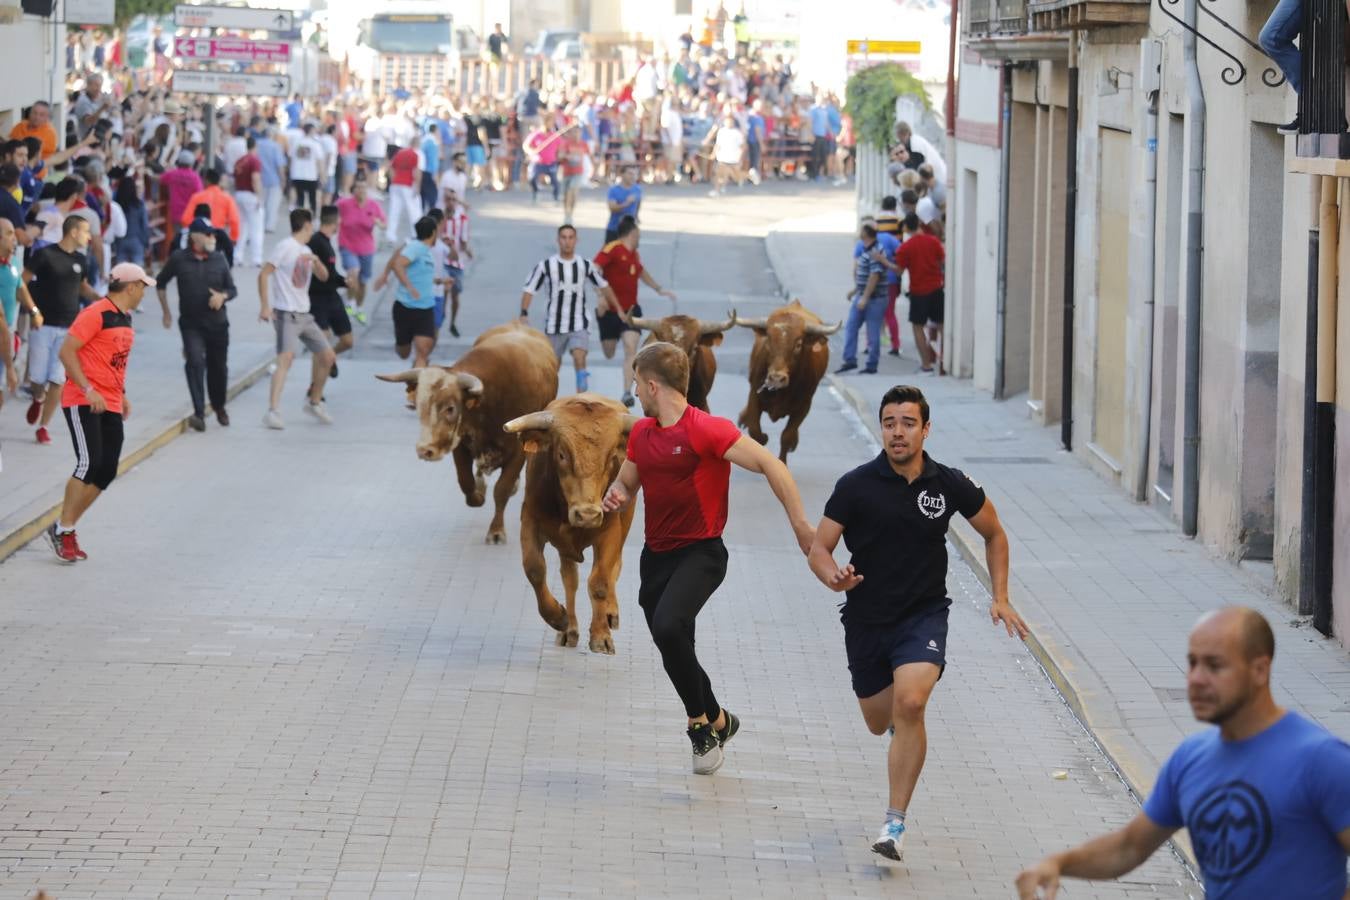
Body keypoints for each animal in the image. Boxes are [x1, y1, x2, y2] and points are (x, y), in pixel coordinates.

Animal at [378, 325, 556, 545]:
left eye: (450, 408)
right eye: (420, 405)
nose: (425, 450)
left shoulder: (518, 452)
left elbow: (502, 489)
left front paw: (496, 531)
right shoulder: (461, 444)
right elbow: (466, 482)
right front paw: (478, 495)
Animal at [507, 394, 637, 655]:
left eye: (611, 458)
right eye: (561, 455)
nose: (587, 514)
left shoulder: (609, 532)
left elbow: (600, 582)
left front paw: (601, 636)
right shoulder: (531, 521)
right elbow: (535, 569)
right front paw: (558, 618)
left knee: (613, 570)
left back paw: (610, 614)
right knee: (570, 579)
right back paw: (570, 630)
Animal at [734, 300, 837, 464]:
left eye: (798, 344)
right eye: (769, 340)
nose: (776, 378)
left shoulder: (804, 406)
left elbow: (787, 436)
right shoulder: (754, 395)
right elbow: (755, 430)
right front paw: (762, 437)